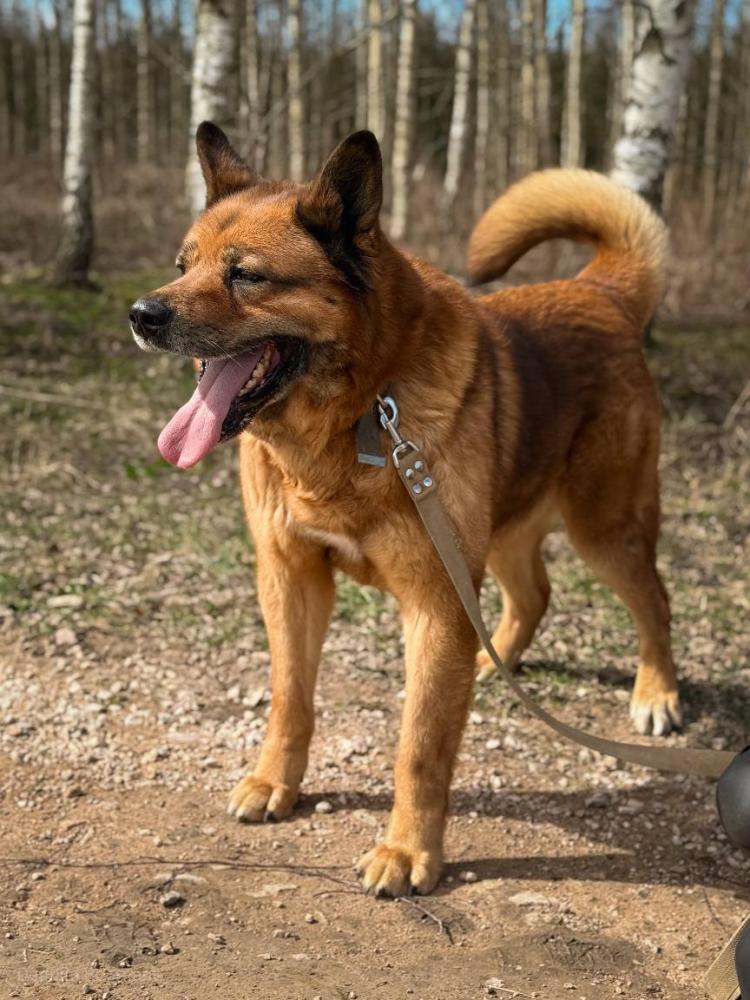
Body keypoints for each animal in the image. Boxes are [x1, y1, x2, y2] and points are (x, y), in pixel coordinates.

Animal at [129, 122, 680, 897]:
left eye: (247, 276)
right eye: (183, 266)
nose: (142, 315)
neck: (360, 413)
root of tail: (598, 291)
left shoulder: (435, 604)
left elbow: (420, 745)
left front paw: (408, 849)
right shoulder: (291, 579)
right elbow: (290, 698)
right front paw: (275, 784)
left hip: (604, 531)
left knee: (653, 602)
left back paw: (657, 693)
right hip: (502, 536)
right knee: (533, 595)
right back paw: (493, 661)